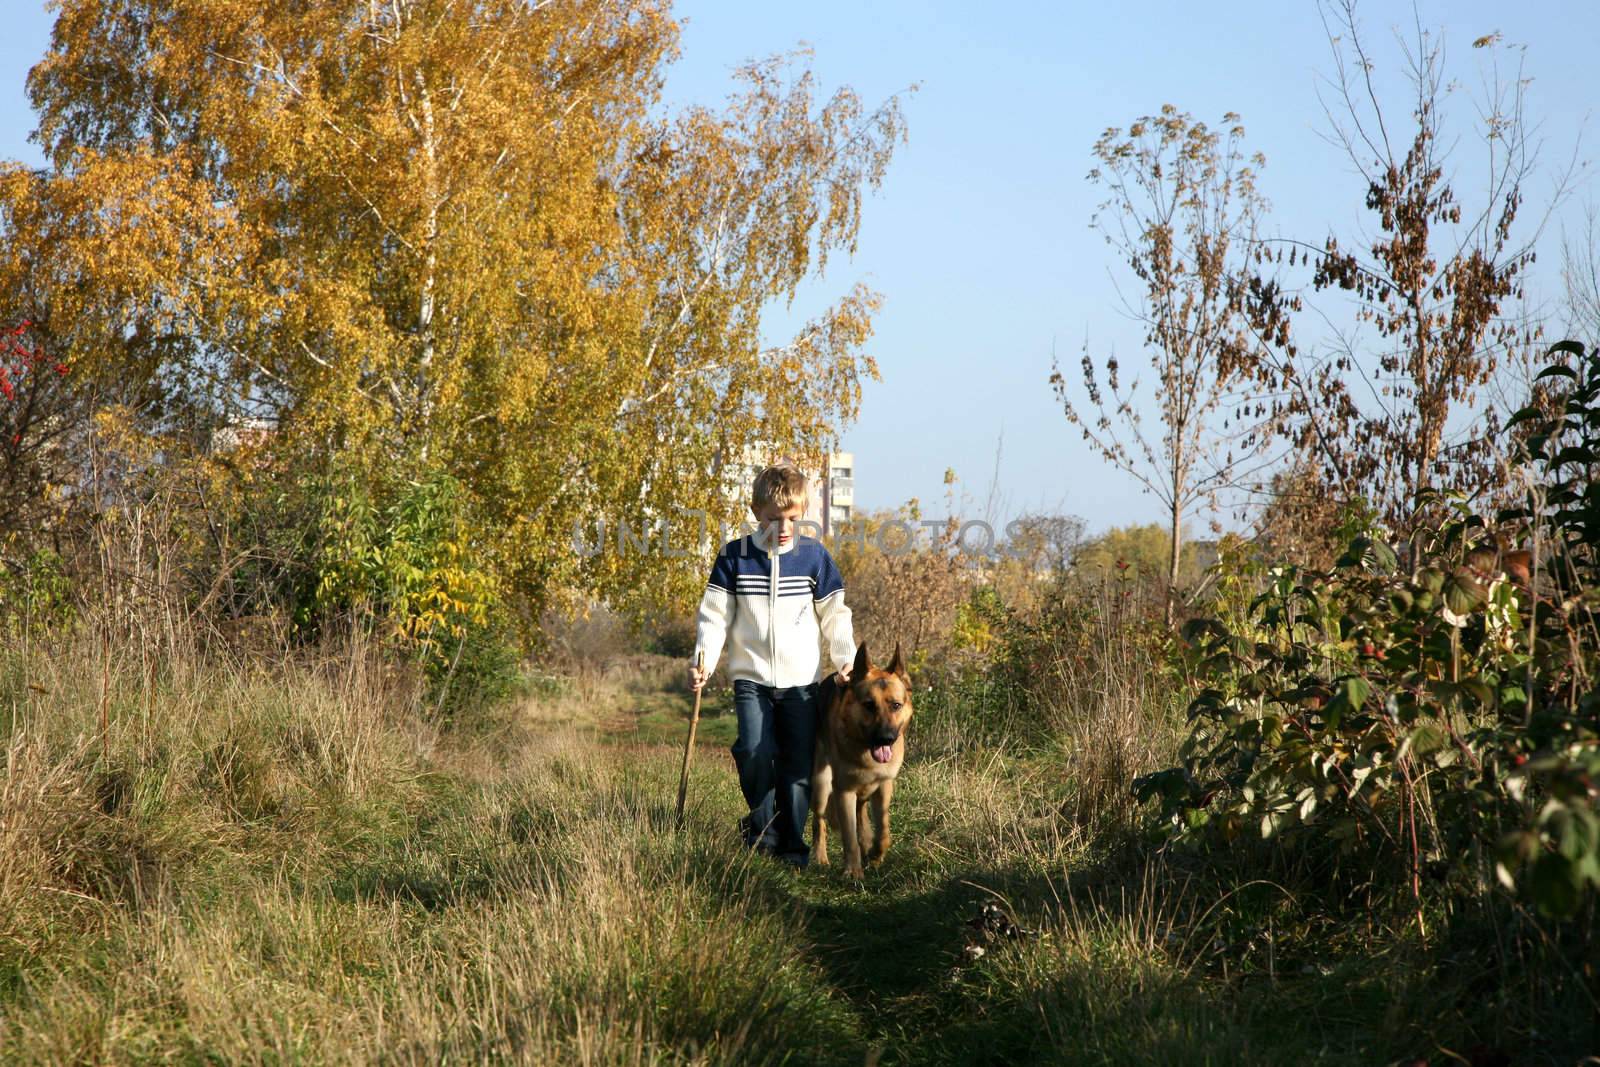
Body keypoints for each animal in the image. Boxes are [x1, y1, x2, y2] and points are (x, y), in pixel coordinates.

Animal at [812, 643, 915, 876]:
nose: (886, 738)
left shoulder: (884, 787)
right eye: (869, 705)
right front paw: (853, 872)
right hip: (821, 786)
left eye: (896, 705)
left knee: (861, 816)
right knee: (818, 822)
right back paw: (820, 858)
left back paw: (867, 844)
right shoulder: (844, 792)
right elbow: (849, 837)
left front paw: (876, 854)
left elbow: (884, 831)